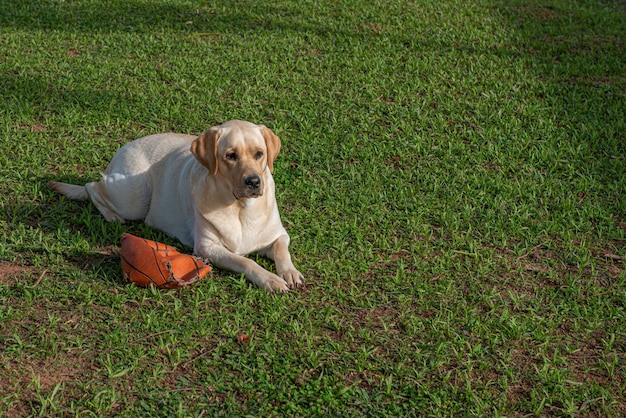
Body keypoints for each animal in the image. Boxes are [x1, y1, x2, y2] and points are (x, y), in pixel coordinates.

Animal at [48, 119, 302, 292]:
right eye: (231, 155)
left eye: (259, 154)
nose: (253, 182)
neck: (240, 207)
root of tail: (123, 147)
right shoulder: (207, 248)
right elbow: (245, 260)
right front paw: (270, 279)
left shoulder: (278, 234)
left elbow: (281, 250)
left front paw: (290, 272)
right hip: (133, 198)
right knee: (92, 186)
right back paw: (111, 215)